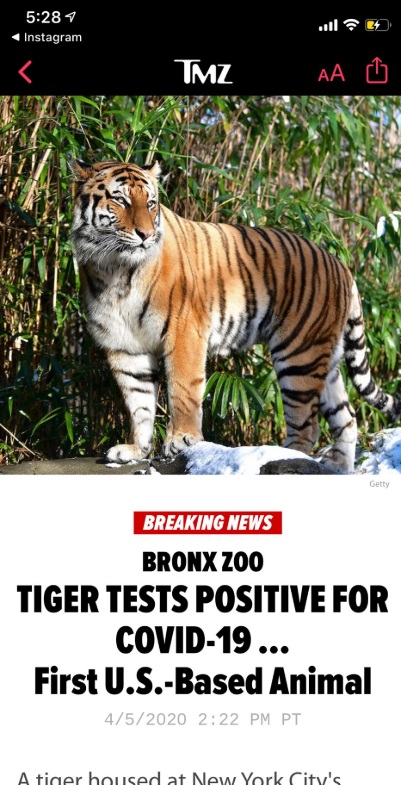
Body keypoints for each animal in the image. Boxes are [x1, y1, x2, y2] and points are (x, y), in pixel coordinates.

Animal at [70, 158, 401, 473]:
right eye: (121, 201)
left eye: (151, 203)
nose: (146, 235)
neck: (114, 269)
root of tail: (342, 265)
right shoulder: (125, 345)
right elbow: (139, 402)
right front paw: (135, 450)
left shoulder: (184, 332)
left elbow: (183, 389)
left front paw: (182, 440)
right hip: (325, 357)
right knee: (347, 417)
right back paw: (338, 469)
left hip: (299, 355)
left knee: (307, 424)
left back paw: (286, 455)